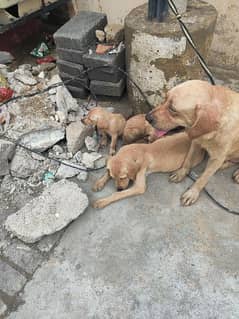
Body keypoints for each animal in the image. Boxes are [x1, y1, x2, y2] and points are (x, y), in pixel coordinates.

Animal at [146, 80, 239, 208]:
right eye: (165, 98)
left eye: (173, 109)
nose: (147, 117)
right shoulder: (195, 142)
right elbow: (187, 160)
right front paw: (181, 173)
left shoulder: (217, 158)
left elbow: (203, 178)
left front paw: (192, 193)